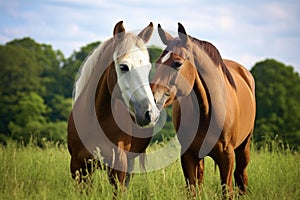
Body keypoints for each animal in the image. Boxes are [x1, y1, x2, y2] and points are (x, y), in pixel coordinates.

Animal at [151, 22, 256, 198]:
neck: (207, 111)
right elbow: (193, 190)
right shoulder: (188, 155)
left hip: (244, 147)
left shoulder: (227, 156)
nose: (152, 98)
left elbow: (227, 191)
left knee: (241, 175)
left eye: (177, 63)